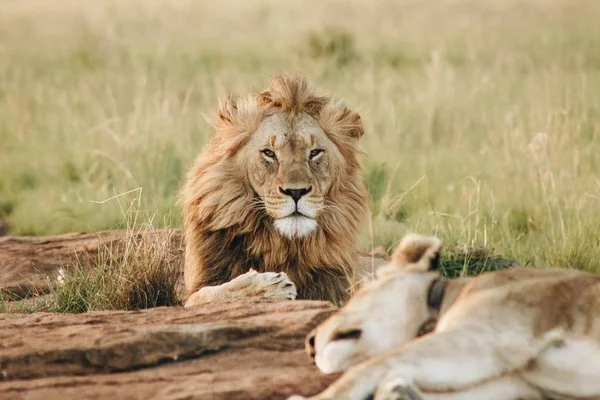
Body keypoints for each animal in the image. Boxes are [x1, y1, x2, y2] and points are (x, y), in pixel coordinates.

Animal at [180, 75, 368, 306]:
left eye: (315, 152)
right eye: (269, 153)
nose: (296, 192)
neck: (282, 245)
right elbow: (209, 294)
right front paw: (268, 286)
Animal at [292, 234, 600, 400]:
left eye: (355, 295)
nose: (309, 343)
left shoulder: (490, 335)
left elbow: (369, 366)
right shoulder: (518, 385)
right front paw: (399, 391)